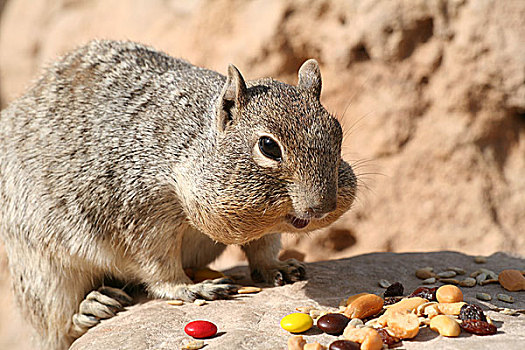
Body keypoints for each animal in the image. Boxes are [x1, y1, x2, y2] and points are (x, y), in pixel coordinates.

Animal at [0, 39, 356, 348]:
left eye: (337, 132)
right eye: (268, 146)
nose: (323, 205)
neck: (190, 148)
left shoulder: (264, 228)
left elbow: (263, 246)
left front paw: (276, 267)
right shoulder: (142, 216)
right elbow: (159, 268)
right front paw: (193, 288)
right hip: (44, 271)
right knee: (54, 323)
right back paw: (90, 306)